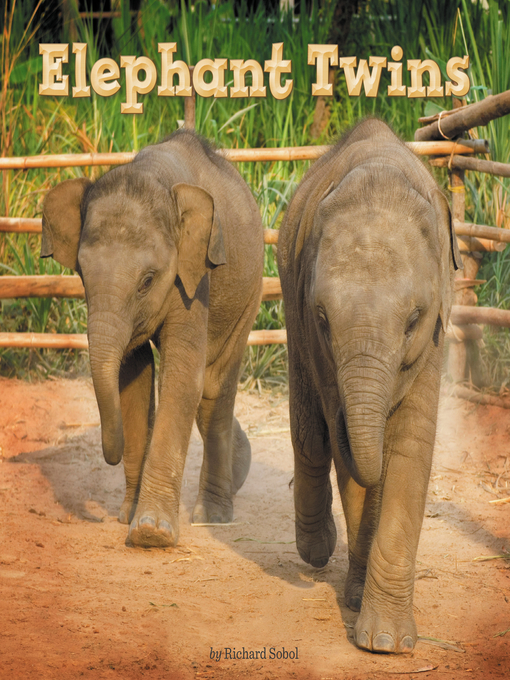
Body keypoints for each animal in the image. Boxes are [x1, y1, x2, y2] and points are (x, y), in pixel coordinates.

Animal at [41, 129, 264, 548]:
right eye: (81, 273)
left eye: (147, 281)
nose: (110, 455)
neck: (150, 175)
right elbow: (133, 378)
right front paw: (128, 517)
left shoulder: (195, 275)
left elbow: (182, 375)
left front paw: (150, 534)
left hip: (251, 291)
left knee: (214, 390)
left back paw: (213, 516)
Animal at [277, 119, 462, 653]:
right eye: (323, 318)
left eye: (413, 320)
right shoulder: (314, 334)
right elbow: (351, 459)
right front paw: (369, 621)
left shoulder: (435, 331)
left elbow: (411, 445)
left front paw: (386, 643)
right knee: (311, 434)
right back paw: (317, 551)